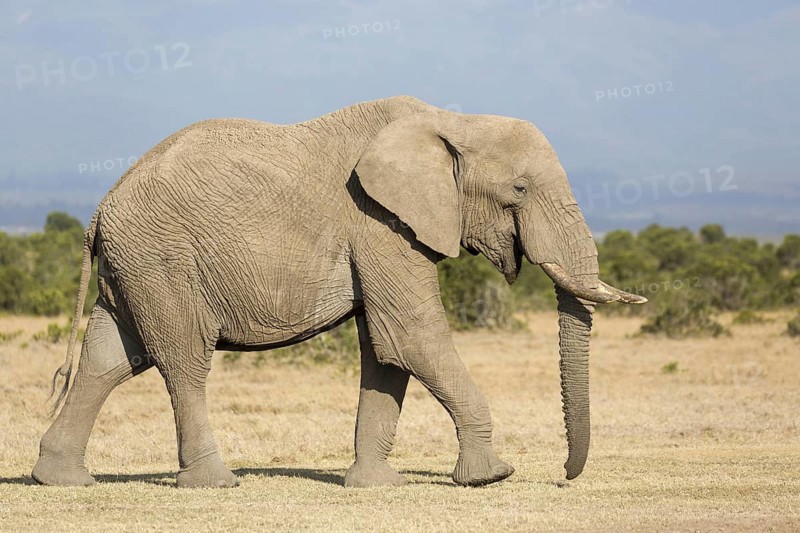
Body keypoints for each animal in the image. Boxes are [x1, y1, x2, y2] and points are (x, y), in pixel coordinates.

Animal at [32, 95, 645, 489]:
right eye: (518, 189)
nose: (565, 477)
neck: (452, 120)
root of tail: (99, 209)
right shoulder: (379, 223)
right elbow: (411, 337)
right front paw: (490, 477)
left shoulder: (386, 231)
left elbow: (385, 353)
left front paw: (376, 486)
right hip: (163, 259)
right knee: (182, 361)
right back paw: (214, 483)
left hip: (135, 265)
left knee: (109, 360)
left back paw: (60, 479)